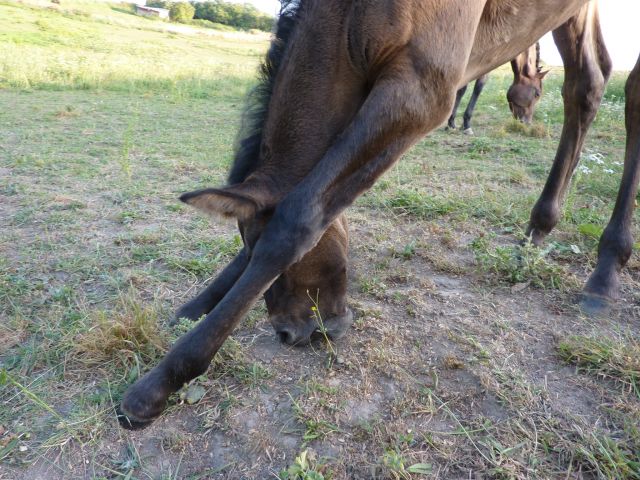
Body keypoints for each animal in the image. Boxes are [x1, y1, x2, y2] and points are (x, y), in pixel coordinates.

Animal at [119, 0, 636, 428]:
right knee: (587, 85)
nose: (294, 332)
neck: (350, 12)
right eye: (244, 242)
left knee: (627, 93)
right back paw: (539, 229)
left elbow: (299, 218)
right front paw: (194, 307)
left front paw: (159, 384)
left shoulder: (421, 90)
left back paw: (606, 267)